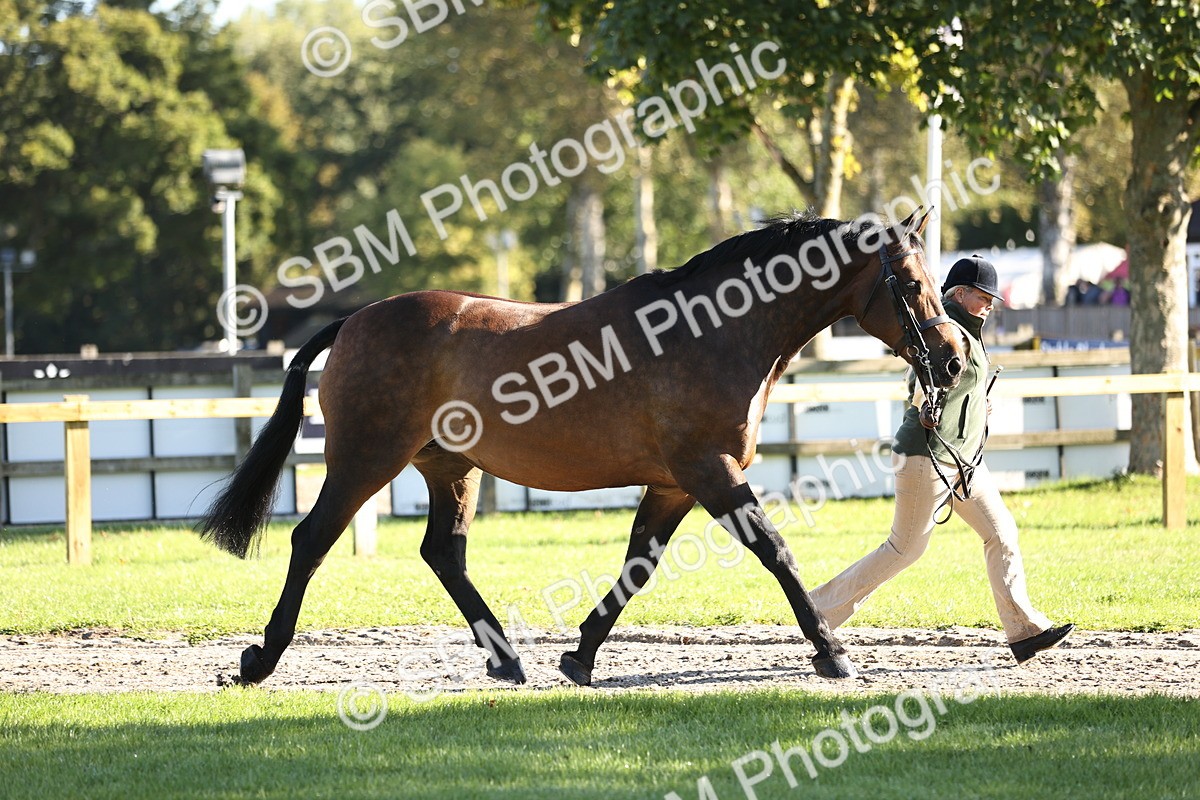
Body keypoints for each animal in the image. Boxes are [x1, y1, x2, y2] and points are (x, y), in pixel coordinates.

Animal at [199, 207, 965, 687]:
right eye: (913, 284)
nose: (953, 360)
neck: (715, 331)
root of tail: (355, 320)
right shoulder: (707, 471)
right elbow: (775, 551)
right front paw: (832, 652)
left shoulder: (674, 484)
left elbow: (638, 566)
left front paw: (580, 656)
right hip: (365, 459)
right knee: (312, 539)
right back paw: (259, 660)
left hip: (451, 468)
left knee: (443, 553)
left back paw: (507, 659)